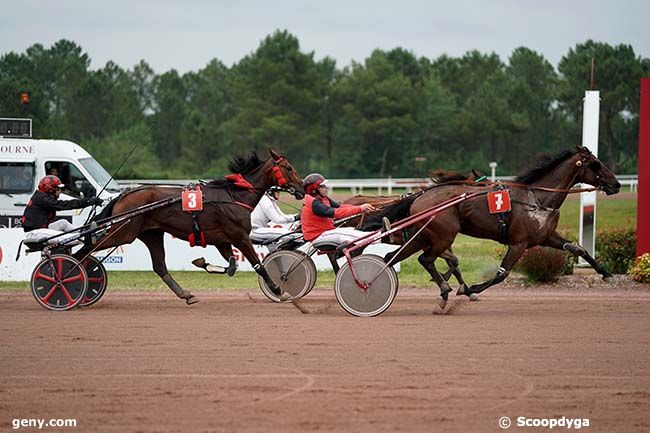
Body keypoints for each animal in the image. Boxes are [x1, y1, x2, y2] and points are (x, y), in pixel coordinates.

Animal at [79, 148, 304, 304]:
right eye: (289, 168)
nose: (302, 188)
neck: (233, 196)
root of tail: (124, 195)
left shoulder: (222, 240)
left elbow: (231, 266)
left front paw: (202, 262)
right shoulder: (239, 236)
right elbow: (258, 265)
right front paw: (278, 289)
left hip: (152, 234)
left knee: (159, 266)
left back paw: (186, 295)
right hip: (124, 233)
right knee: (86, 249)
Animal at [362, 147, 620, 306]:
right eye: (596, 164)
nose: (616, 184)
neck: (537, 198)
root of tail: (420, 197)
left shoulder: (545, 237)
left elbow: (578, 248)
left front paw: (606, 273)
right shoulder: (519, 243)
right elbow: (501, 274)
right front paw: (469, 289)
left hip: (422, 236)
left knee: (393, 258)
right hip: (443, 236)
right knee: (424, 260)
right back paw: (443, 290)